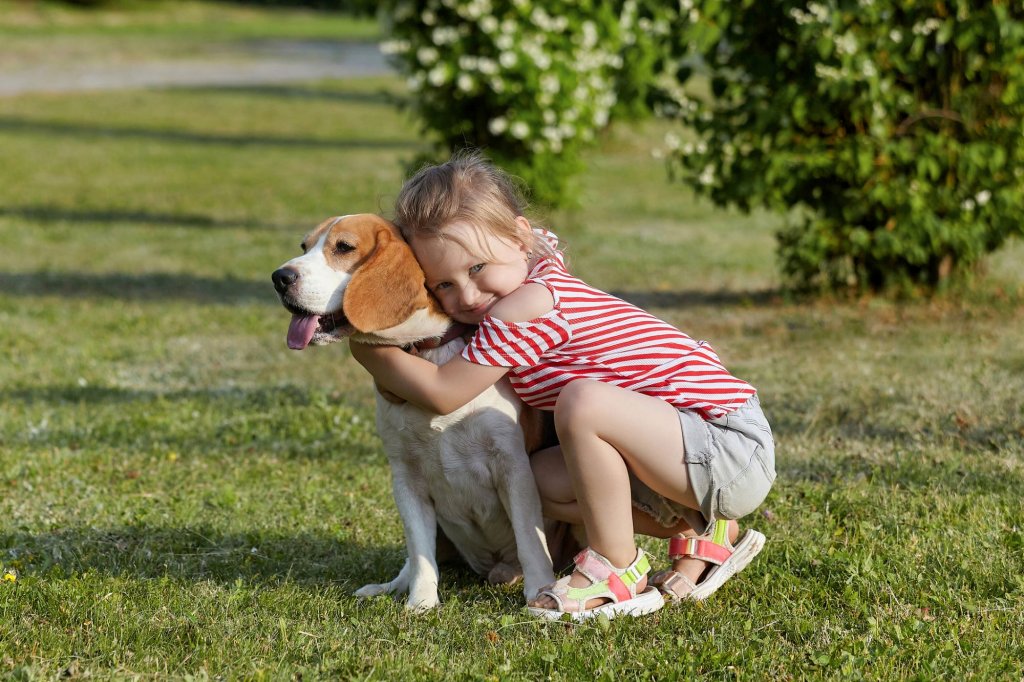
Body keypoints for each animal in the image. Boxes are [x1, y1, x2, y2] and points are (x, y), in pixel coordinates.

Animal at [272, 214, 557, 610]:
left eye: (343, 247)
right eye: (304, 246)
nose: (279, 277)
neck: (426, 352)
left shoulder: (513, 467)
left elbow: (531, 539)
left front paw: (541, 591)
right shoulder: (405, 476)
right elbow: (420, 551)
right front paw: (421, 601)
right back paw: (389, 586)